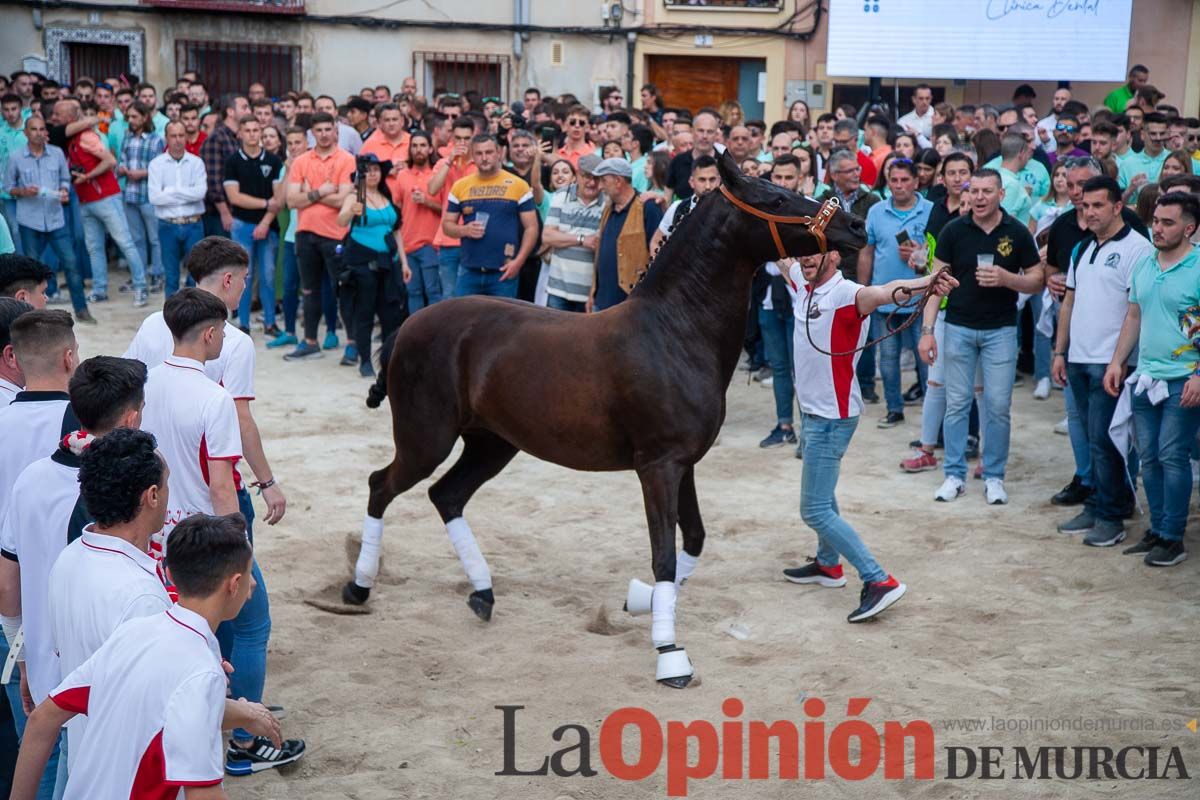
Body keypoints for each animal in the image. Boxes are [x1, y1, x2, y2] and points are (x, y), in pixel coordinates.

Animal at [345, 151, 864, 690]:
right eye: (776, 198)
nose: (855, 225)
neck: (674, 332)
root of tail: (408, 324)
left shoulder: (684, 463)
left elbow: (693, 539)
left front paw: (644, 602)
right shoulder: (658, 466)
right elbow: (665, 553)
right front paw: (670, 654)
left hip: (492, 444)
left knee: (446, 496)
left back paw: (482, 593)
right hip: (426, 440)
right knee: (382, 485)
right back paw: (359, 588)